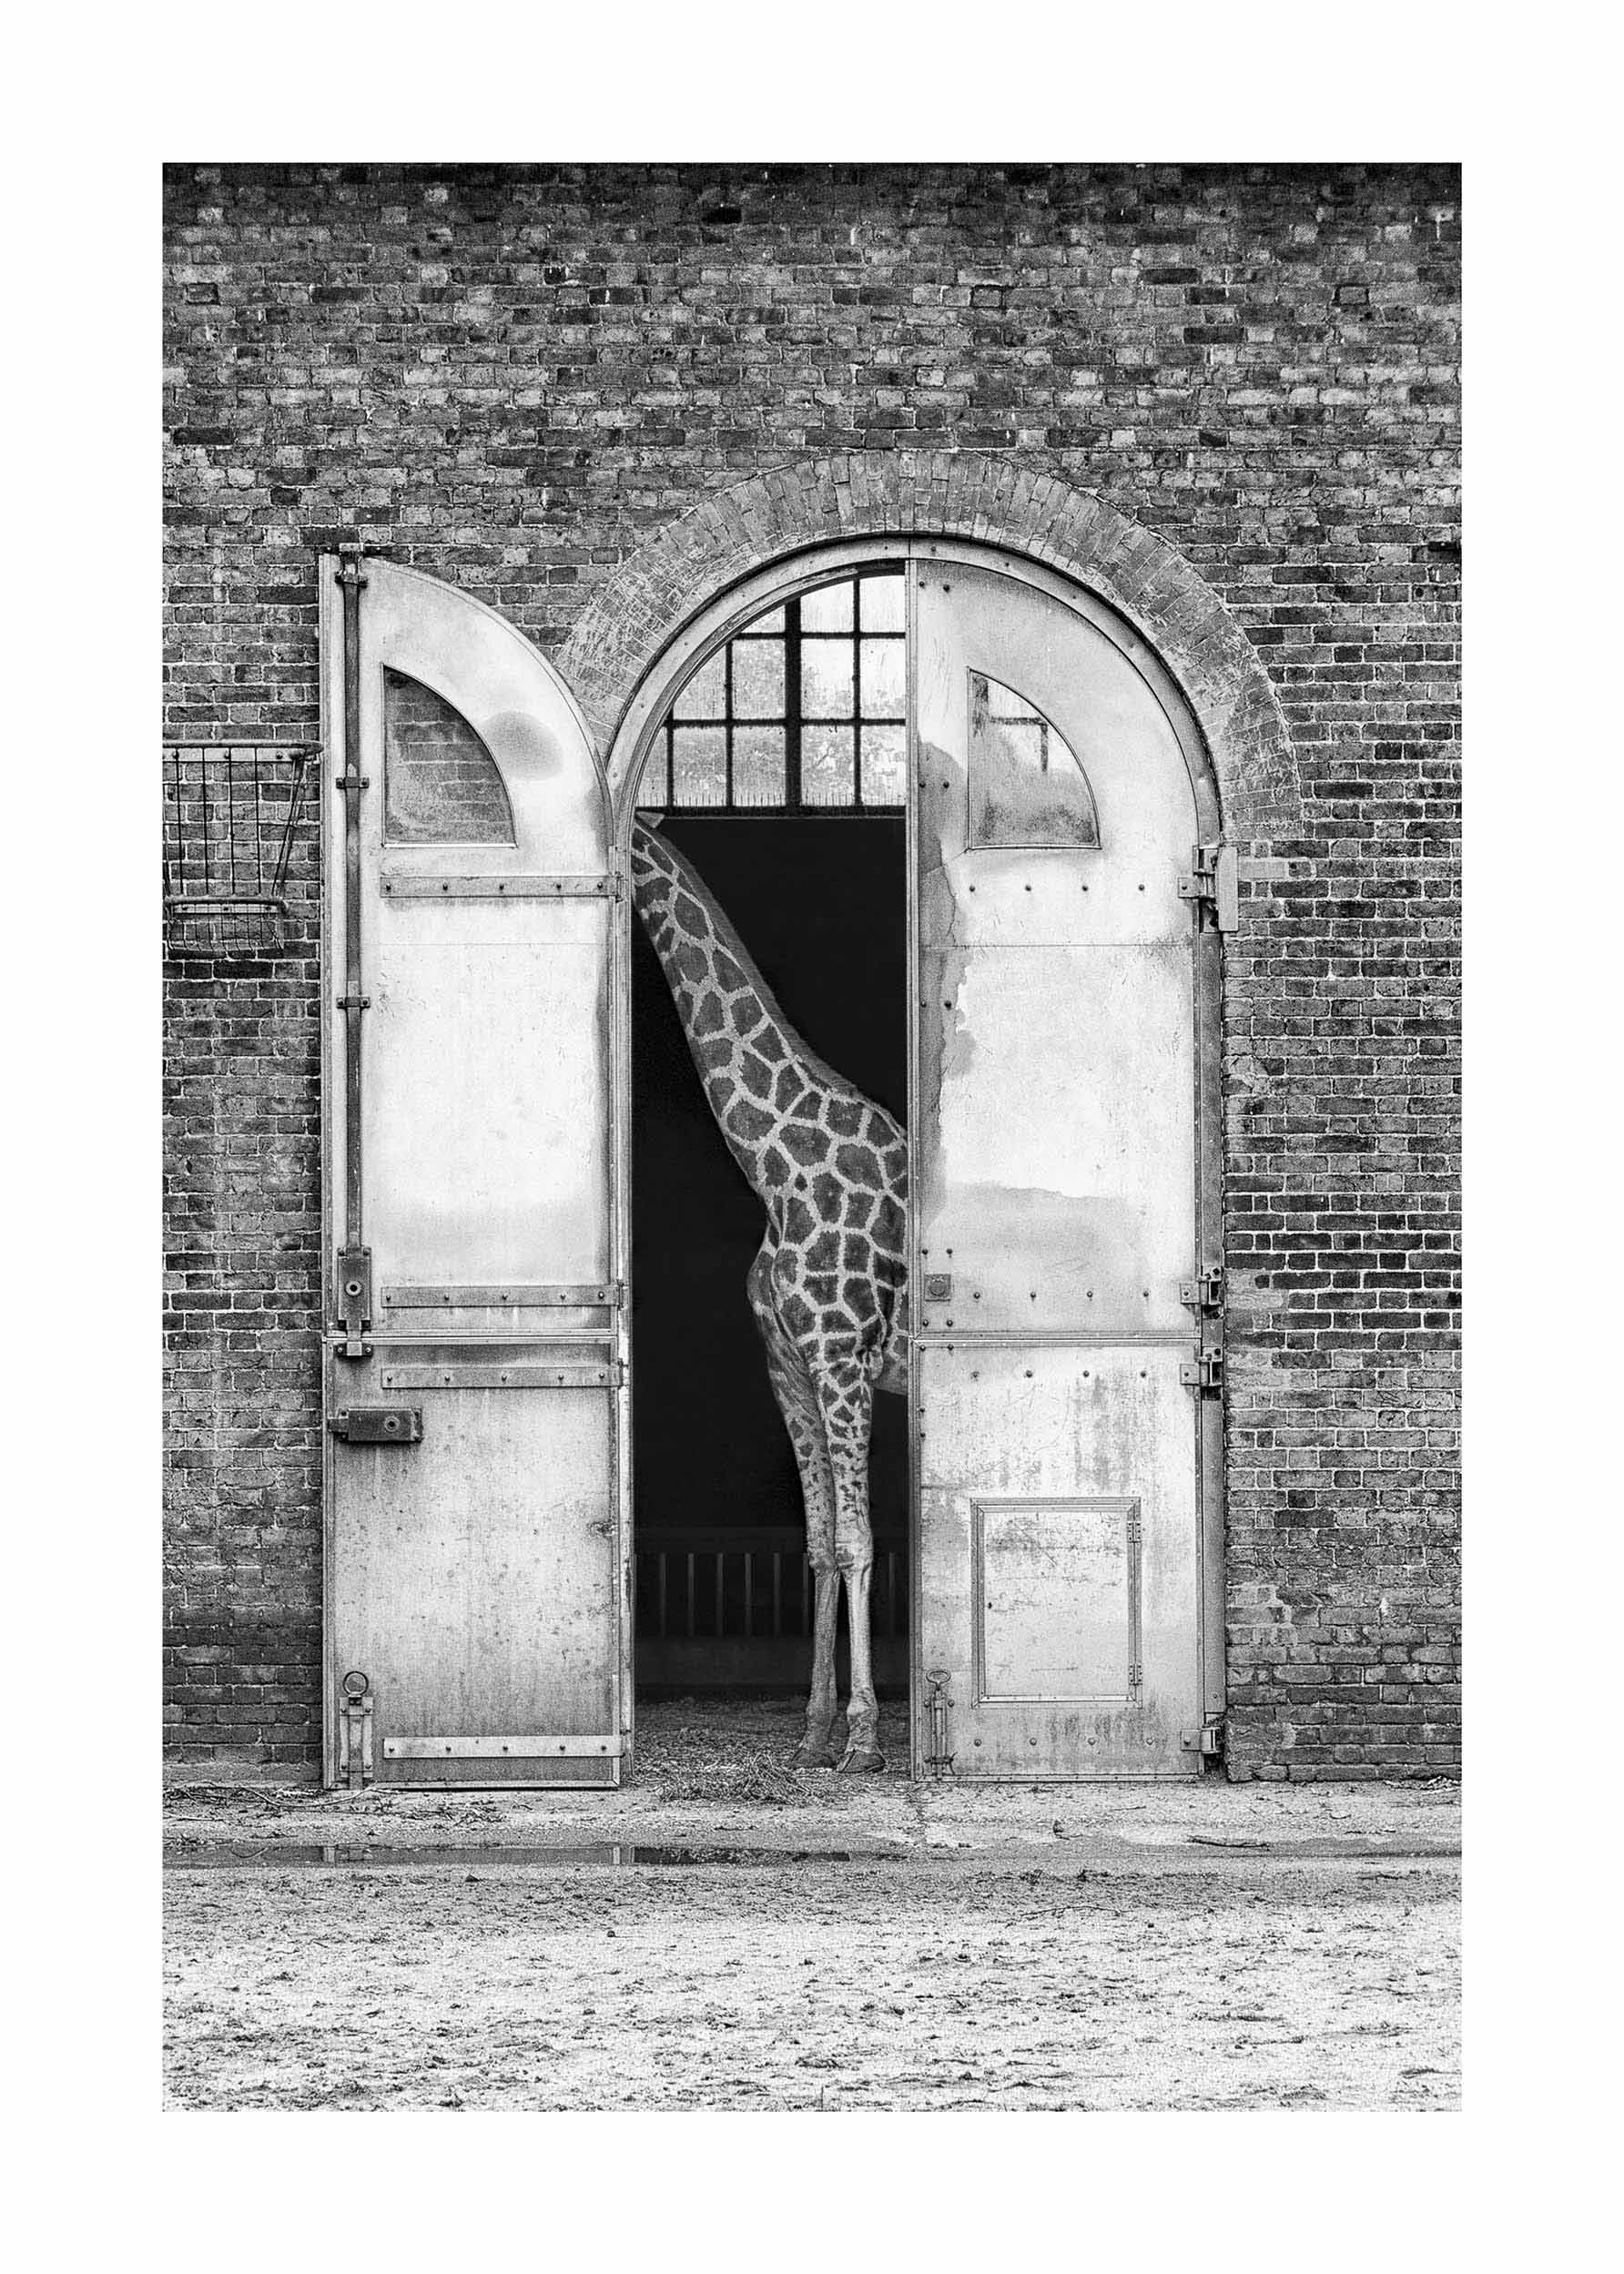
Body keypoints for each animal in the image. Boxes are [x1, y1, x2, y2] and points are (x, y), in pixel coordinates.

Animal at [630, 818, 908, 1772]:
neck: (775, 1167)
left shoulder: (843, 1358)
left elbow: (859, 1541)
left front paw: (863, 1739)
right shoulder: (787, 1364)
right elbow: (819, 1545)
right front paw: (813, 1730)